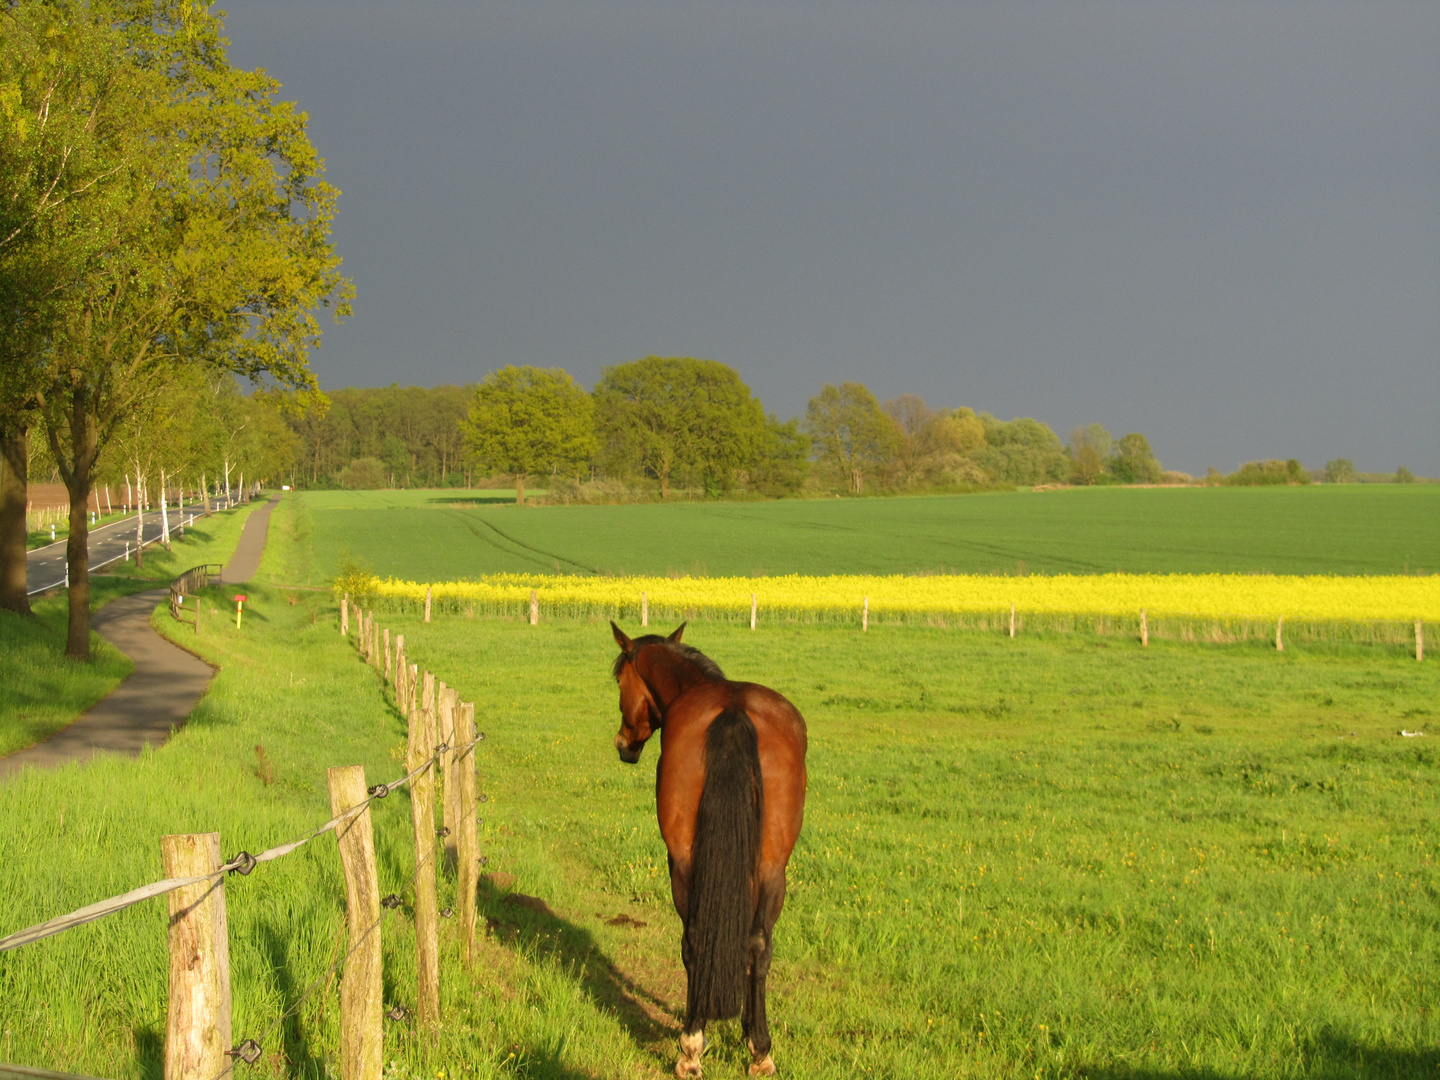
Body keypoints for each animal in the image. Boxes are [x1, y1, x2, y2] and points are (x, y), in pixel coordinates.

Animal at [610, 622, 806, 1077]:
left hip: (683, 864)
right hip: (773, 867)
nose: (623, 743)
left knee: (694, 940)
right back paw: (760, 1051)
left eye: (618, 681)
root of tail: (733, 713)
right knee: (759, 944)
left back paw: (691, 1047)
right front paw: (749, 1031)